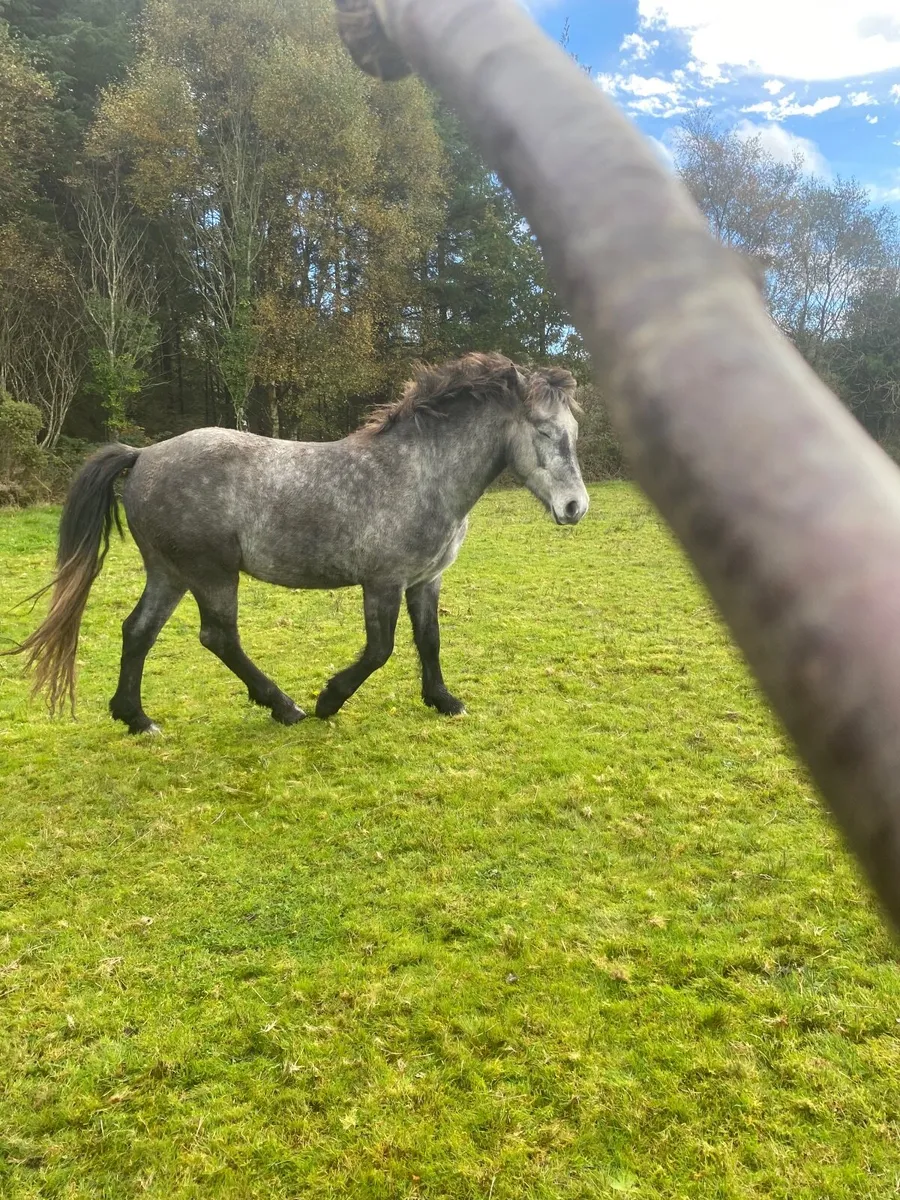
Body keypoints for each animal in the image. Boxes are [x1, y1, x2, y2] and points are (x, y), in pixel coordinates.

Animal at [8, 352, 589, 733]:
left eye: (574, 432)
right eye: (542, 429)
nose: (575, 508)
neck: (420, 472)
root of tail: (144, 455)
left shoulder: (426, 580)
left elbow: (429, 641)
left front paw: (444, 701)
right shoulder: (383, 582)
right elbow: (380, 649)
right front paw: (330, 699)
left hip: (170, 574)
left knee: (138, 632)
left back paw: (136, 719)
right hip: (211, 573)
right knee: (218, 637)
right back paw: (285, 707)